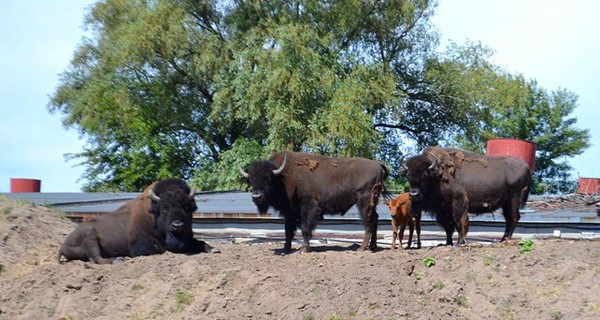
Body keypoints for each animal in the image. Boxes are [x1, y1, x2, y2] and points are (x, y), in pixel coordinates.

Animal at [58, 178, 220, 264]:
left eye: (187, 207)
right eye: (164, 208)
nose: (177, 225)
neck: (152, 217)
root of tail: (62, 245)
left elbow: (200, 243)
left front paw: (214, 249)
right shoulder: (140, 247)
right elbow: (159, 248)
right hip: (90, 236)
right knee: (96, 258)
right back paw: (118, 259)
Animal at [239, 151, 390, 254]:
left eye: (268, 178)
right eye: (250, 179)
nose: (257, 196)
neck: (282, 177)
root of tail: (378, 164)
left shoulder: (307, 206)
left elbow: (305, 228)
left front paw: (304, 249)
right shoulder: (289, 212)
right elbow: (288, 231)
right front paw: (286, 249)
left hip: (364, 202)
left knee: (368, 222)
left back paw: (362, 248)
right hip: (372, 203)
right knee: (375, 219)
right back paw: (373, 246)